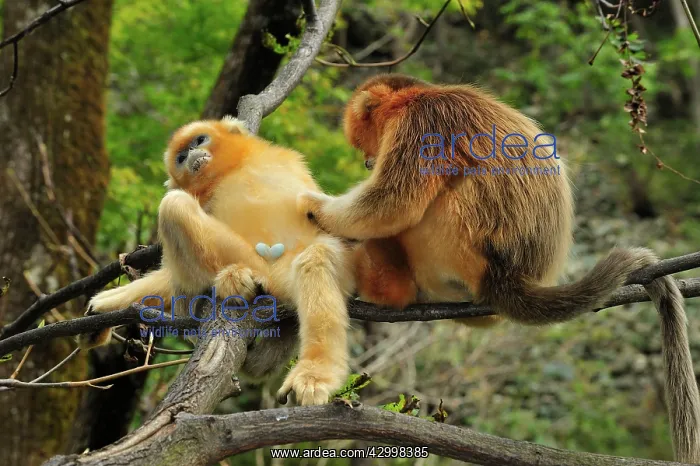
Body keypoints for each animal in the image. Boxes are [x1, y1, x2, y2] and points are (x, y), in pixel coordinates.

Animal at [85, 116, 355, 406]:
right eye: (181, 157)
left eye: (199, 140)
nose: (191, 153)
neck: (228, 171)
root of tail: (274, 280)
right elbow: (171, 278)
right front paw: (104, 306)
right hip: (247, 257)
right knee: (175, 207)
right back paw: (235, 282)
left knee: (316, 259)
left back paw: (316, 376)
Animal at [297, 73, 700, 462]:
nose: (368, 161)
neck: (417, 98)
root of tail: (507, 279)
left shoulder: (422, 124)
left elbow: (391, 203)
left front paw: (316, 208)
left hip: (458, 248)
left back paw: (388, 283)